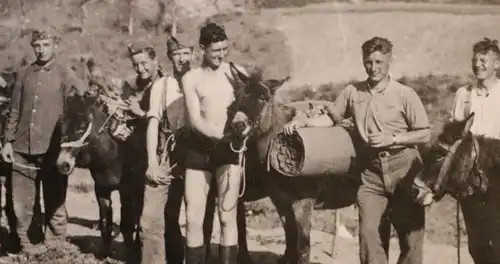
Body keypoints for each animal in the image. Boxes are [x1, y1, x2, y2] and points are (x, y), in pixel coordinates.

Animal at [225, 63, 392, 264]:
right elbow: (290, 237)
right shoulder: (281, 201)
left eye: (263, 99)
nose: (238, 125)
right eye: (237, 96)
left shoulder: (303, 203)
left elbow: (303, 245)